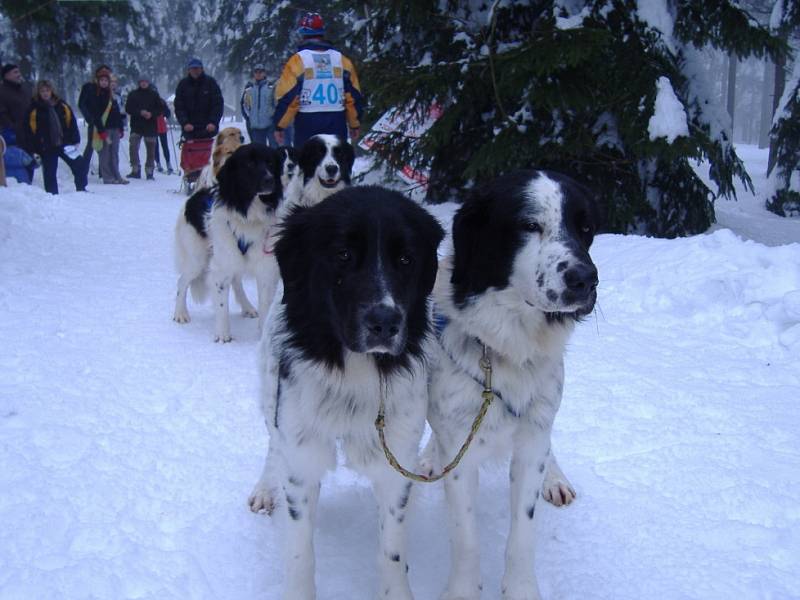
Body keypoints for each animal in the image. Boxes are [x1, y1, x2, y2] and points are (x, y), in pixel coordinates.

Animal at [173, 144, 286, 342]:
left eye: (270, 163)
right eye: (249, 164)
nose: (269, 180)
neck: (249, 215)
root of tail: (196, 194)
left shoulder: (265, 268)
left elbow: (265, 304)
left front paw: (262, 336)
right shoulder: (221, 267)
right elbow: (221, 304)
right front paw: (222, 334)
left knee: (237, 282)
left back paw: (247, 307)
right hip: (197, 260)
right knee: (182, 281)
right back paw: (180, 313)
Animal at [250, 188, 444, 600]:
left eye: (406, 259)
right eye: (342, 254)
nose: (385, 322)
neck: (354, 372)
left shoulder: (397, 458)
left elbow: (391, 551)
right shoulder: (301, 456)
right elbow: (300, 553)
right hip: (270, 387)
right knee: (273, 444)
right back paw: (264, 487)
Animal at [428, 170, 596, 600]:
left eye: (585, 228)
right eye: (529, 225)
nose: (585, 278)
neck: (508, 345)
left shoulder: (534, 432)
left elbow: (522, 532)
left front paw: (521, 589)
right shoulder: (459, 439)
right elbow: (465, 536)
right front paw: (463, 591)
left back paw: (556, 478)